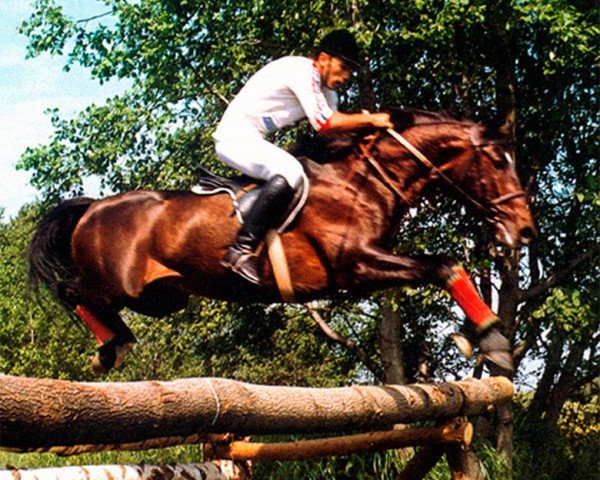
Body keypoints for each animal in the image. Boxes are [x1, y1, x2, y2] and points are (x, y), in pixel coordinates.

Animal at [27, 109, 536, 376]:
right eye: (497, 162)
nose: (525, 231)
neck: (366, 182)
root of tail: (92, 207)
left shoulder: (362, 271)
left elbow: (441, 266)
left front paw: (483, 340)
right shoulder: (356, 265)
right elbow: (443, 264)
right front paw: (493, 340)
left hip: (164, 296)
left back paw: (115, 343)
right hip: (123, 286)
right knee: (72, 291)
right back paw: (110, 347)